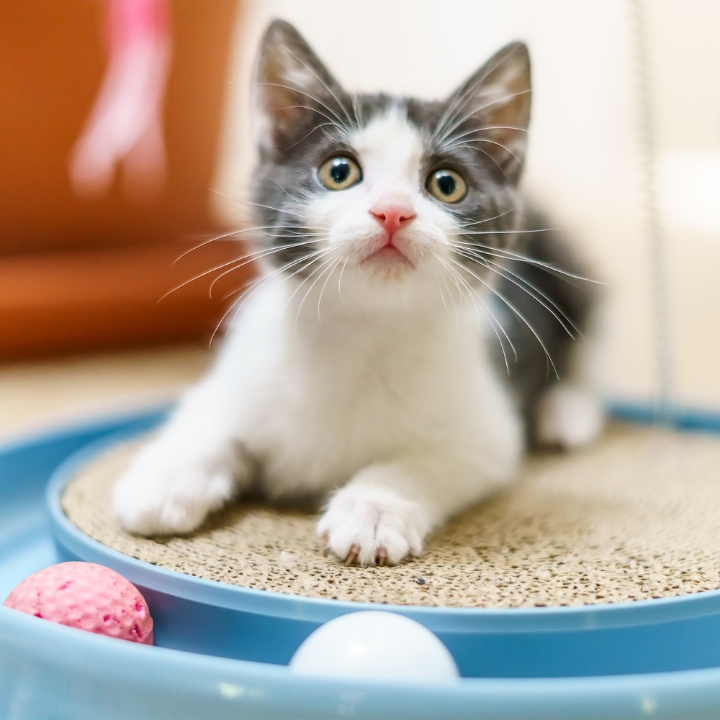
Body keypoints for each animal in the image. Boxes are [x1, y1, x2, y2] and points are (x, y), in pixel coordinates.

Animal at [112, 19, 600, 564]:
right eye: (339, 171)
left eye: (446, 183)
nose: (393, 211)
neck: (363, 330)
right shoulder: (240, 375)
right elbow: (208, 419)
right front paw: (163, 480)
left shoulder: (488, 431)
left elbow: (429, 459)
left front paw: (374, 510)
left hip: (568, 269)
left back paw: (566, 414)